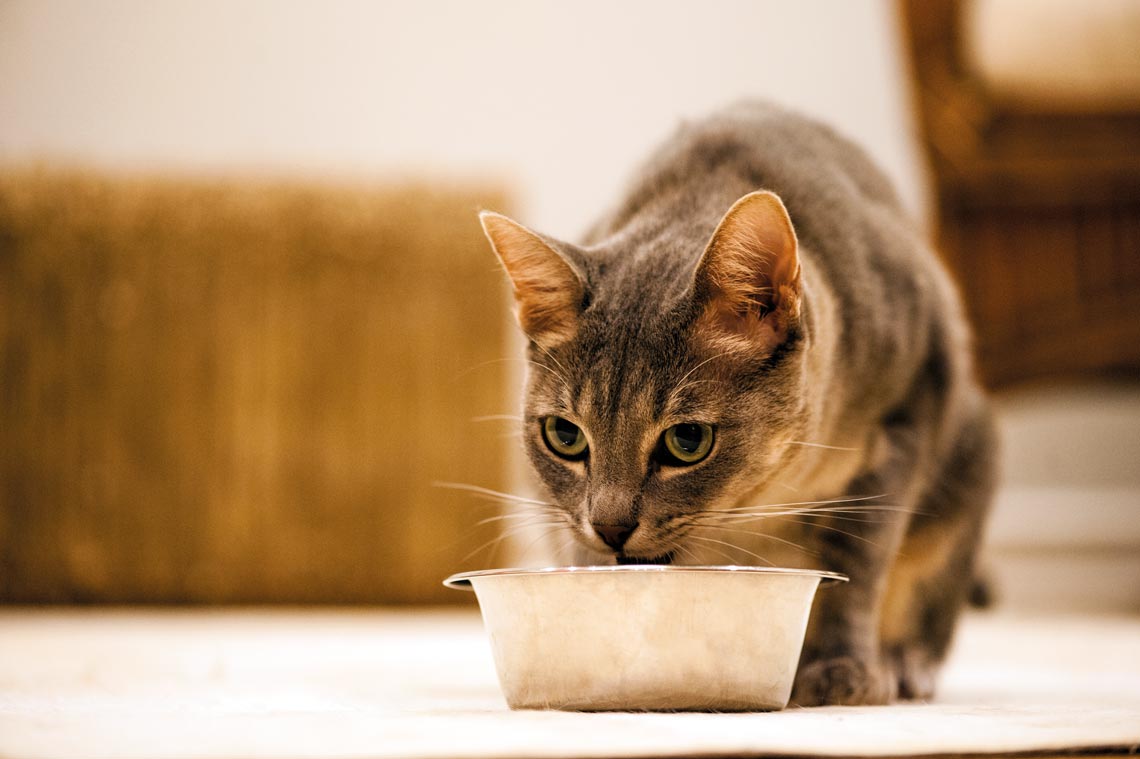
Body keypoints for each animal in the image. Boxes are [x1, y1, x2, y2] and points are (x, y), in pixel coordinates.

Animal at [476, 100, 994, 702]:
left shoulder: (911, 406)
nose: (610, 527)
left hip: (967, 457)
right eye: (564, 435)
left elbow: (859, 563)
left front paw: (841, 667)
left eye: (687, 440)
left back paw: (904, 660)